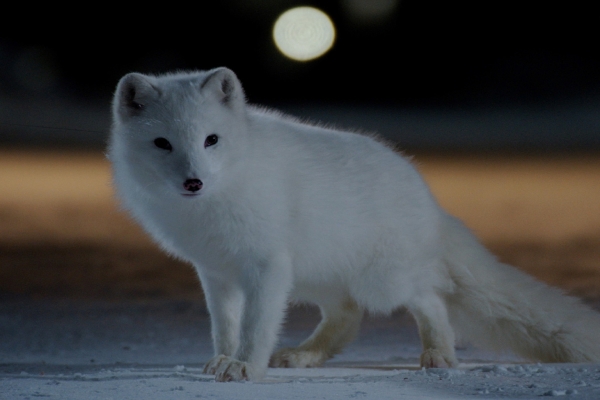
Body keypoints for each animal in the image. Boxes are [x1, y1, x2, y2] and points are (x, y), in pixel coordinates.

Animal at [108, 68, 600, 382]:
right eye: (162, 143)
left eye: (212, 139)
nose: (194, 181)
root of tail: (430, 201)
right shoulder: (215, 271)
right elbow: (224, 325)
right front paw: (222, 359)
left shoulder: (266, 264)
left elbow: (256, 324)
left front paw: (246, 366)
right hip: (314, 277)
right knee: (346, 318)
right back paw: (305, 355)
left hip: (381, 281)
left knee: (430, 298)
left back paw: (439, 353)